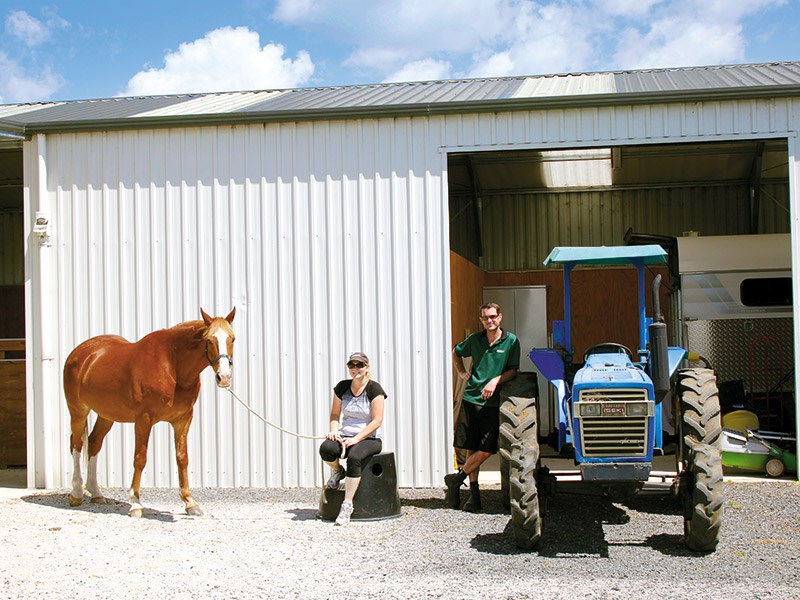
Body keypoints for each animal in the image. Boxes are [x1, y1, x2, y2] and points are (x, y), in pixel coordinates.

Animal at [65, 310, 234, 516]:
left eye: (233, 338)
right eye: (209, 340)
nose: (224, 377)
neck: (172, 364)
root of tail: (81, 353)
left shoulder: (183, 419)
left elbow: (182, 458)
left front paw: (190, 502)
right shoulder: (143, 420)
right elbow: (140, 459)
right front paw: (136, 503)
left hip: (106, 415)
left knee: (94, 442)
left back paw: (96, 493)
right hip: (77, 410)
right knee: (77, 444)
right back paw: (76, 493)